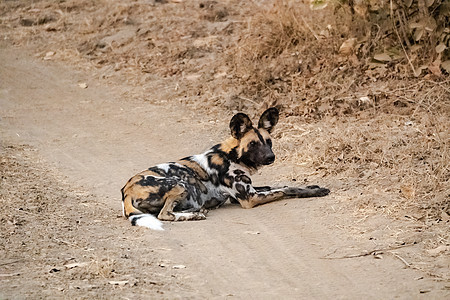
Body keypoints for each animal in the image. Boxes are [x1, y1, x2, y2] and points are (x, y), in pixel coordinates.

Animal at [121, 108, 328, 230]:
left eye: (269, 142)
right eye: (253, 144)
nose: (271, 157)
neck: (232, 156)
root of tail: (126, 192)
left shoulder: (249, 191)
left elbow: (282, 186)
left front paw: (312, 188)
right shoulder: (249, 198)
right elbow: (285, 191)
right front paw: (316, 192)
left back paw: (196, 212)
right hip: (179, 183)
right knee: (164, 215)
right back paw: (193, 215)